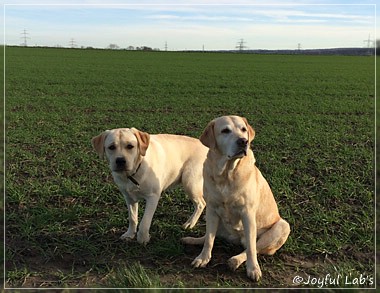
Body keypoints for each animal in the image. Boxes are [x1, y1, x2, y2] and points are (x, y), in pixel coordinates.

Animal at [183, 115, 290, 280]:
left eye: (243, 129)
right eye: (225, 131)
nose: (243, 141)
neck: (227, 173)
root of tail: (235, 238)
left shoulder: (248, 214)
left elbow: (252, 249)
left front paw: (253, 269)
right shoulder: (212, 209)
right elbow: (209, 240)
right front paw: (203, 258)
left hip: (282, 226)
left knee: (253, 248)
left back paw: (235, 260)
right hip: (214, 219)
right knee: (209, 236)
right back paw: (192, 240)